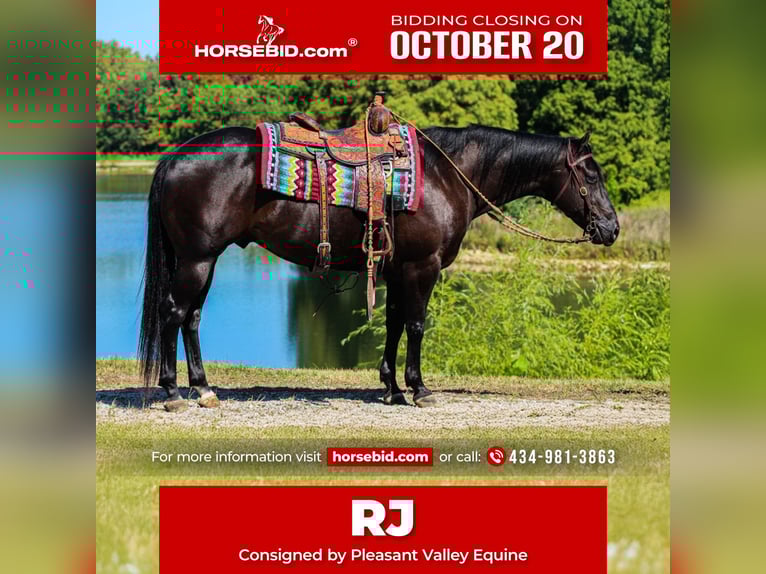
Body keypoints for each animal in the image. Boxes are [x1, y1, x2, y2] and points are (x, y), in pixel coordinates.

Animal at [138, 124, 619, 412]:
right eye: (591, 175)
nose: (612, 228)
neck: (447, 175)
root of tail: (176, 157)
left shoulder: (395, 269)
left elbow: (392, 324)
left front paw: (390, 388)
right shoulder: (423, 268)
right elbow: (417, 324)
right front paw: (419, 389)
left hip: (204, 260)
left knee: (191, 319)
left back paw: (204, 388)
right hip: (198, 260)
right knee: (173, 313)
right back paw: (173, 392)